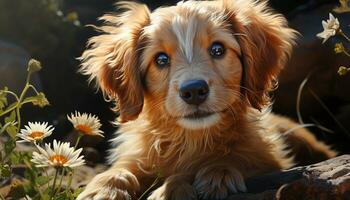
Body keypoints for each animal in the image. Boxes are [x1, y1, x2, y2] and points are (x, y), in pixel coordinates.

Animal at [77, 0, 336, 199]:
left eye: (218, 49)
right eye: (161, 59)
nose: (193, 91)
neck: (190, 138)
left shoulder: (269, 161)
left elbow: (232, 157)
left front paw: (204, 177)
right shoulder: (137, 154)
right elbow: (121, 169)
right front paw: (103, 188)